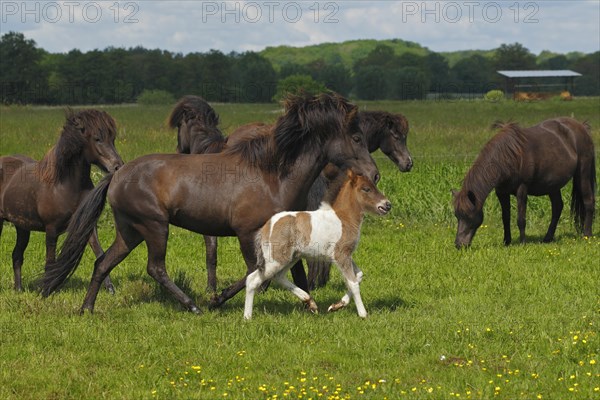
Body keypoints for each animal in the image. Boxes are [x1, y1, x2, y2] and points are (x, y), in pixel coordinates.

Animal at [0, 109, 123, 290]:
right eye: (97, 139)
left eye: (112, 139)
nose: (117, 166)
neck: (64, 186)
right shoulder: (51, 230)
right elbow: (50, 263)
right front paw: (45, 290)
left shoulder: (87, 226)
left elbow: (99, 253)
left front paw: (110, 289)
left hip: (22, 227)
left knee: (17, 255)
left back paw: (19, 289)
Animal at [41, 92, 380, 314]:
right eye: (356, 138)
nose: (374, 173)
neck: (273, 175)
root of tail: (117, 174)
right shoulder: (247, 233)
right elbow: (257, 273)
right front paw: (217, 299)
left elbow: (291, 273)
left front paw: (313, 304)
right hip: (154, 226)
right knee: (155, 268)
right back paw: (194, 306)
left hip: (131, 231)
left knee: (103, 263)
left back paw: (87, 309)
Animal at [245, 170, 394, 320]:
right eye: (366, 189)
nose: (387, 205)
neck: (344, 218)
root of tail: (266, 227)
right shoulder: (341, 255)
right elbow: (353, 283)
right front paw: (363, 314)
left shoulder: (345, 255)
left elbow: (358, 276)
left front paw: (337, 305)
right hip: (275, 259)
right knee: (252, 280)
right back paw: (247, 317)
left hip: (291, 258)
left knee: (278, 276)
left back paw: (310, 302)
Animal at [454, 116, 596, 247]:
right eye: (457, 215)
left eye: (468, 215)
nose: (459, 245)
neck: (508, 157)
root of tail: (582, 127)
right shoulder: (501, 192)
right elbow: (505, 217)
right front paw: (506, 242)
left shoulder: (522, 189)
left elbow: (521, 219)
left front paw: (522, 242)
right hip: (553, 185)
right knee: (557, 207)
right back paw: (547, 238)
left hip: (582, 174)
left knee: (588, 202)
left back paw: (587, 235)